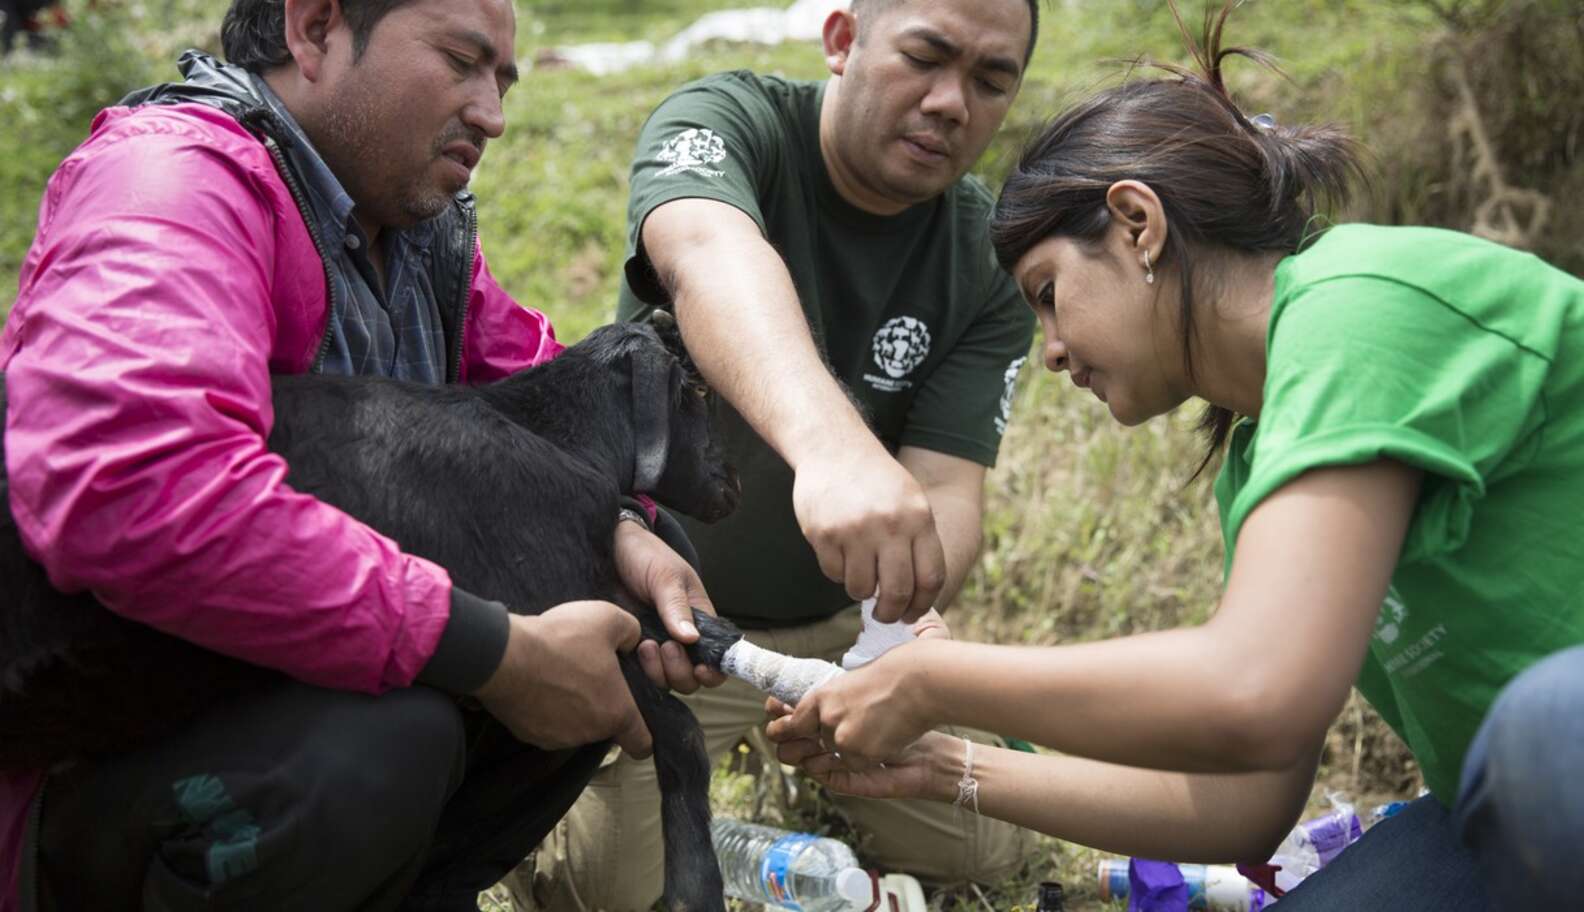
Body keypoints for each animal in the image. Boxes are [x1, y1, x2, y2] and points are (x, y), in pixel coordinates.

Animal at [0, 315, 747, 912]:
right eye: (697, 390)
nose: (735, 483)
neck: (552, 436)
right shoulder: (554, 607)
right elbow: (680, 732)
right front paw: (695, 888)